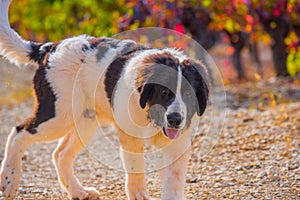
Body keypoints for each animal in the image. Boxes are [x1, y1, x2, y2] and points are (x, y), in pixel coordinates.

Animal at [0, 0, 209, 199]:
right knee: (19, 132)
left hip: (85, 120)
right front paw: (138, 195)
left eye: (189, 94)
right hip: (58, 115)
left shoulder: (178, 145)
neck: (151, 116)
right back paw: (9, 180)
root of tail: (50, 47)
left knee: (60, 154)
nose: (175, 119)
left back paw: (79, 192)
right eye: (164, 92)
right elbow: (135, 166)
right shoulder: (130, 136)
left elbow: (173, 182)